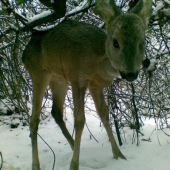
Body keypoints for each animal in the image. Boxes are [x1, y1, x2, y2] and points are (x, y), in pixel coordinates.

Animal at [22, 0, 151, 170]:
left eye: (142, 42)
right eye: (115, 42)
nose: (130, 74)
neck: (97, 62)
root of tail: (24, 54)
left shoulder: (95, 85)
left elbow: (104, 114)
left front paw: (119, 155)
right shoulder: (78, 79)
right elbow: (79, 121)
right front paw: (74, 165)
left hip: (59, 79)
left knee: (56, 111)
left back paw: (73, 145)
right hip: (39, 73)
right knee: (34, 119)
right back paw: (36, 164)